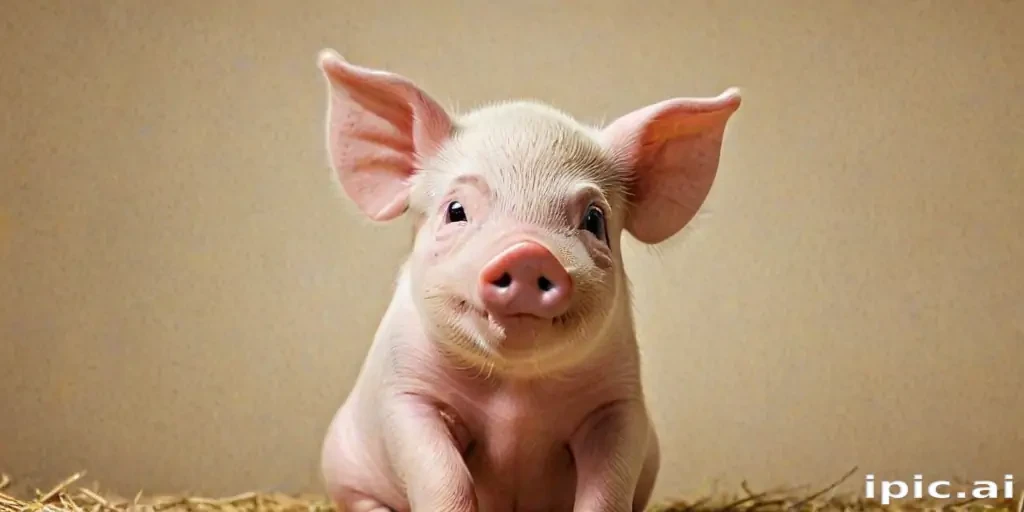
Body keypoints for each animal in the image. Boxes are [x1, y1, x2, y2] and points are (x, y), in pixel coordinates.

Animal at [315, 48, 742, 512]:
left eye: (594, 219)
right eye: (455, 210)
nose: (527, 253)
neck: (515, 396)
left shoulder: (619, 405)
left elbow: (607, 488)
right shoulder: (408, 395)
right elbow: (444, 476)